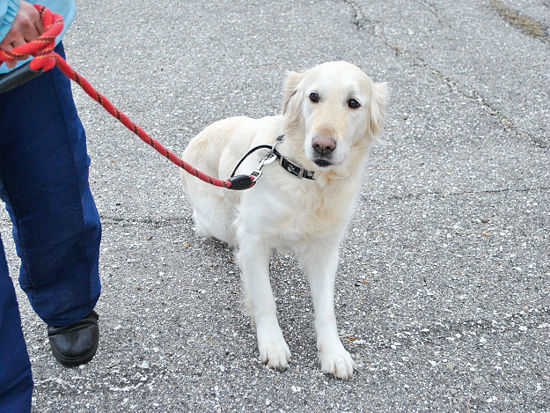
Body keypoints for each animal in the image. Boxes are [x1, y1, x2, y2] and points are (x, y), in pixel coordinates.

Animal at [181, 59, 388, 378]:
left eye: (354, 103)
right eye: (313, 96)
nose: (323, 145)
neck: (308, 179)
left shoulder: (325, 250)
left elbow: (326, 308)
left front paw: (334, 352)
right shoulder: (253, 238)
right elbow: (265, 298)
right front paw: (273, 344)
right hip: (218, 220)